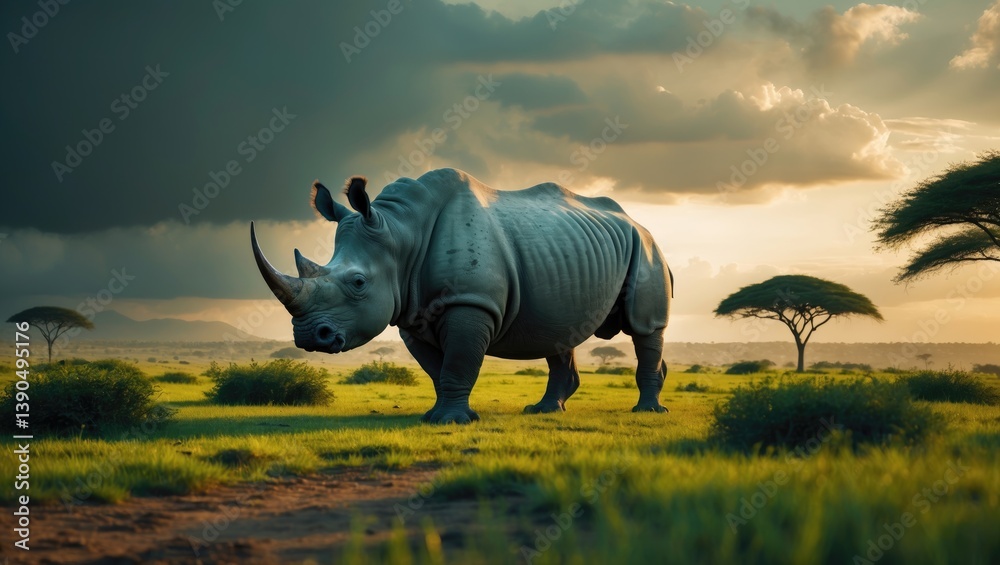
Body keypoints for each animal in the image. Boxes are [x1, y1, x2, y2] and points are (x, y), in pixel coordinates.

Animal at [251, 168, 672, 423]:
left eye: (358, 283)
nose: (309, 337)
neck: (401, 233)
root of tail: (638, 222)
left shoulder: (471, 300)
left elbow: (457, 361)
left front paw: (452, 420)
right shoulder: (411, 312)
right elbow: (437, 369)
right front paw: (436, 417)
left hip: (646, 249)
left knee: (645, 327)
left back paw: (648, 412)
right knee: (558, 330)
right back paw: (543, 411)